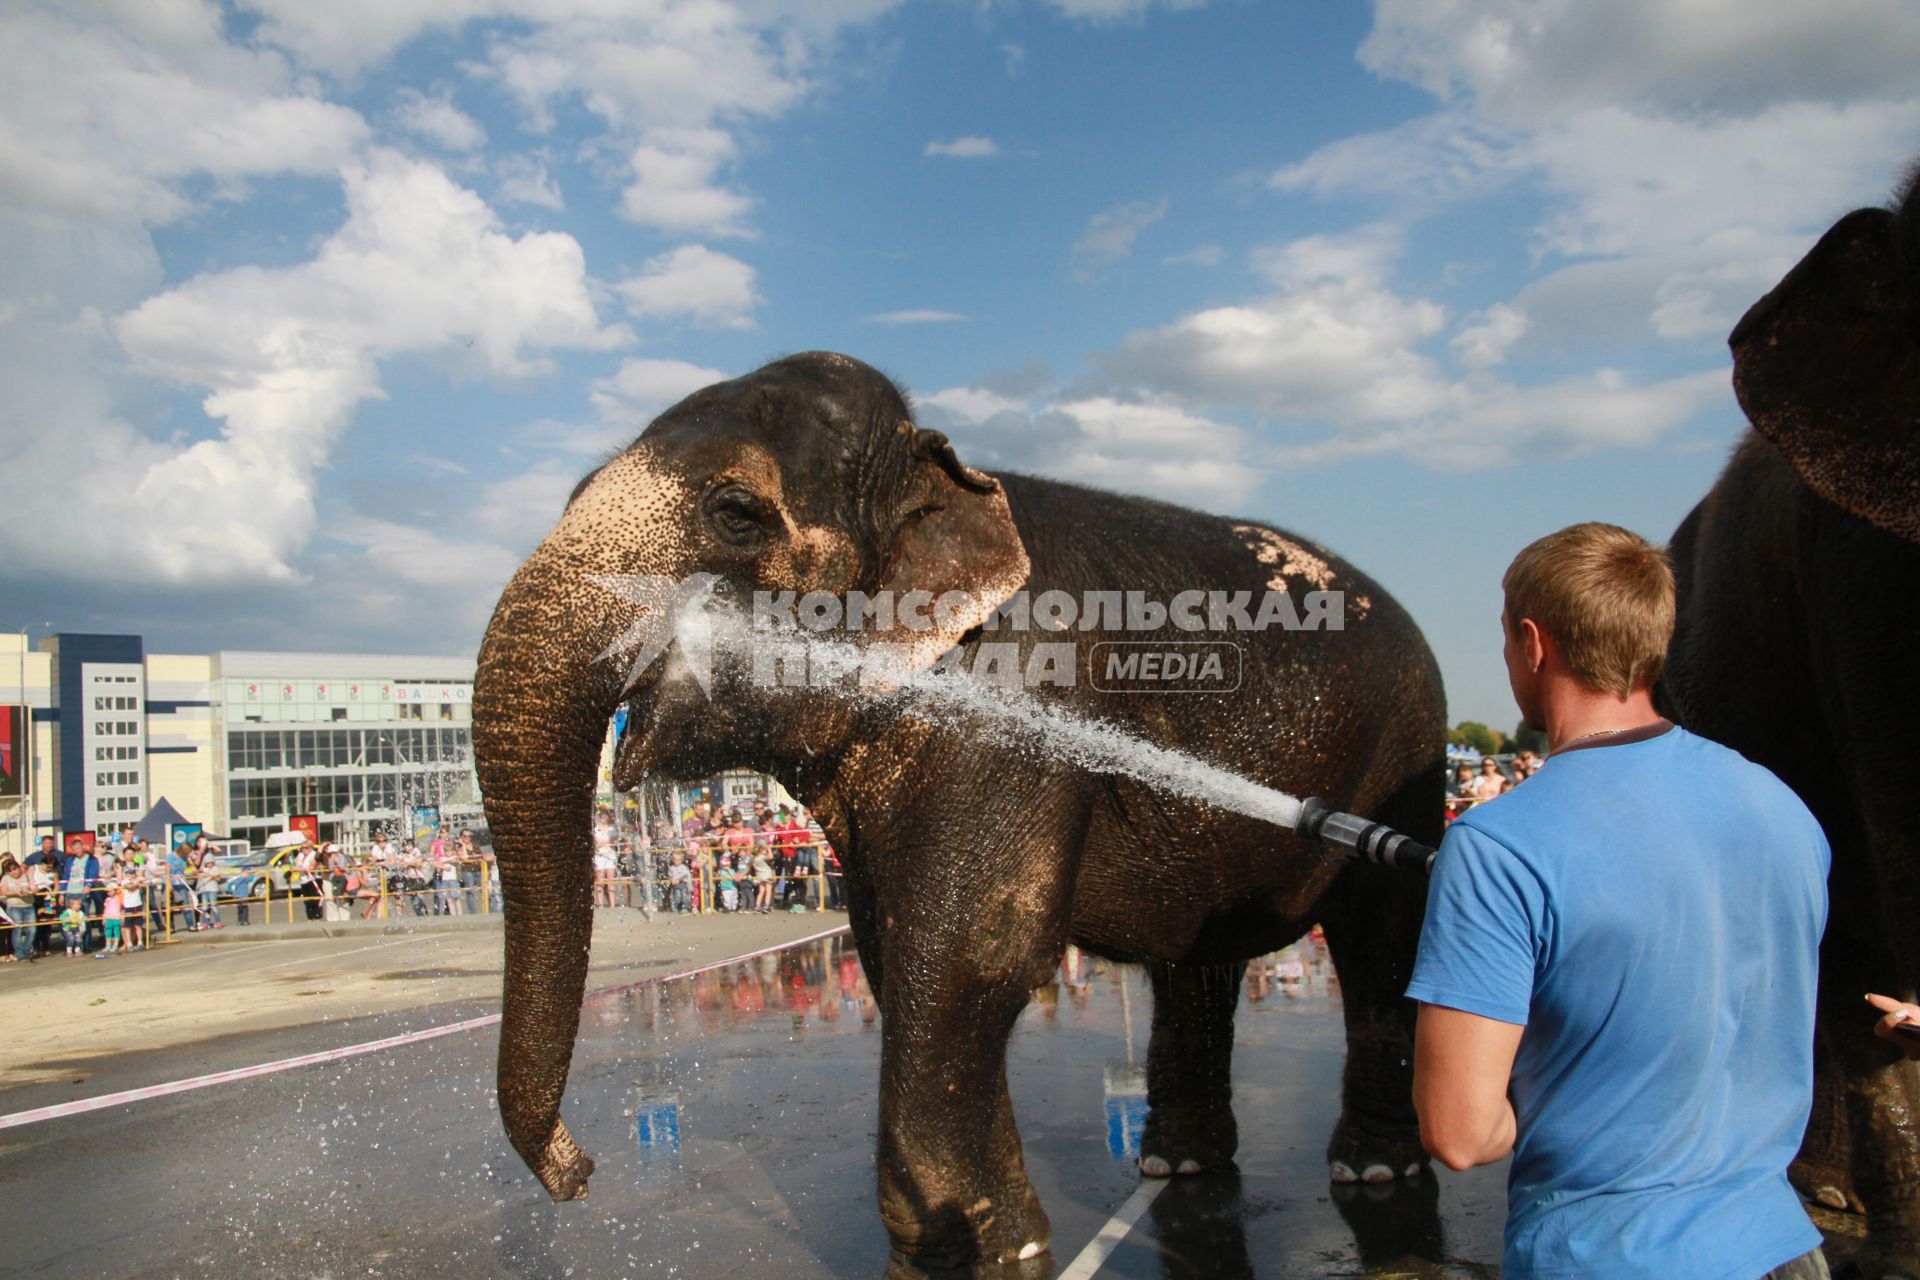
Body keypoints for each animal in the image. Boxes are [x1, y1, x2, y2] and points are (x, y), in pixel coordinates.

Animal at [476, 347, 1443, 1274]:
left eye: (737, 512)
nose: (580, 1172)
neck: (940, 470)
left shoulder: (1018, 697)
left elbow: (966, 953)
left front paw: (963, 1256)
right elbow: (893, 944)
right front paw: (1000, 1242)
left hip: (1410, 743)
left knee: (1381, 937)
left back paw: (1372, 1170)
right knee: (1197, 960)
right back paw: (1178, 1164)